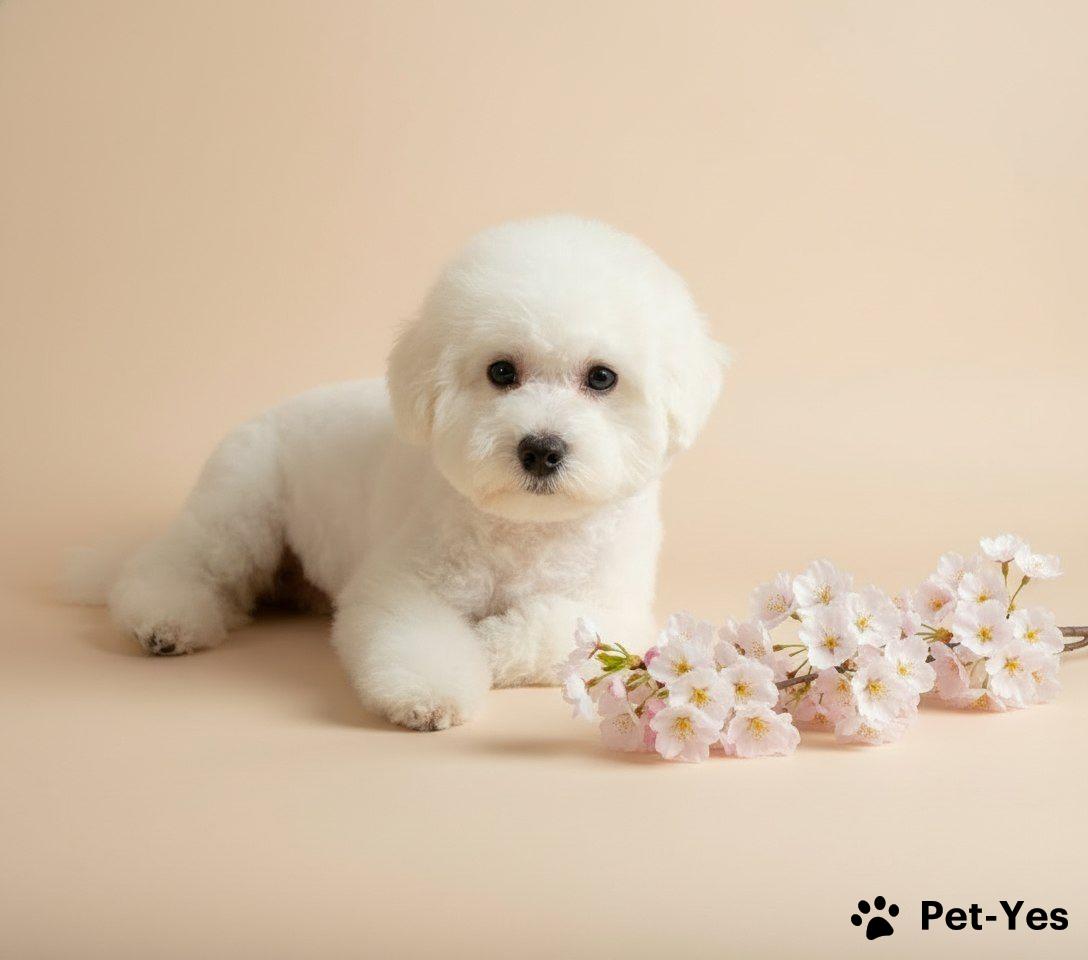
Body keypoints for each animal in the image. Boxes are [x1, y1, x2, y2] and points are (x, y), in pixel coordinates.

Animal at [89, 215, 725, 730]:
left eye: (601, 377)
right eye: (501, 371)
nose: (541, 449)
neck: (525, 532)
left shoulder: (612, 601)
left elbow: (551, 627)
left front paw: (489, 644)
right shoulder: (402, 584)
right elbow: (417, 636)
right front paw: (431, 695)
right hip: (241, 507)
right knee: (180, 562)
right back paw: (166, 620)